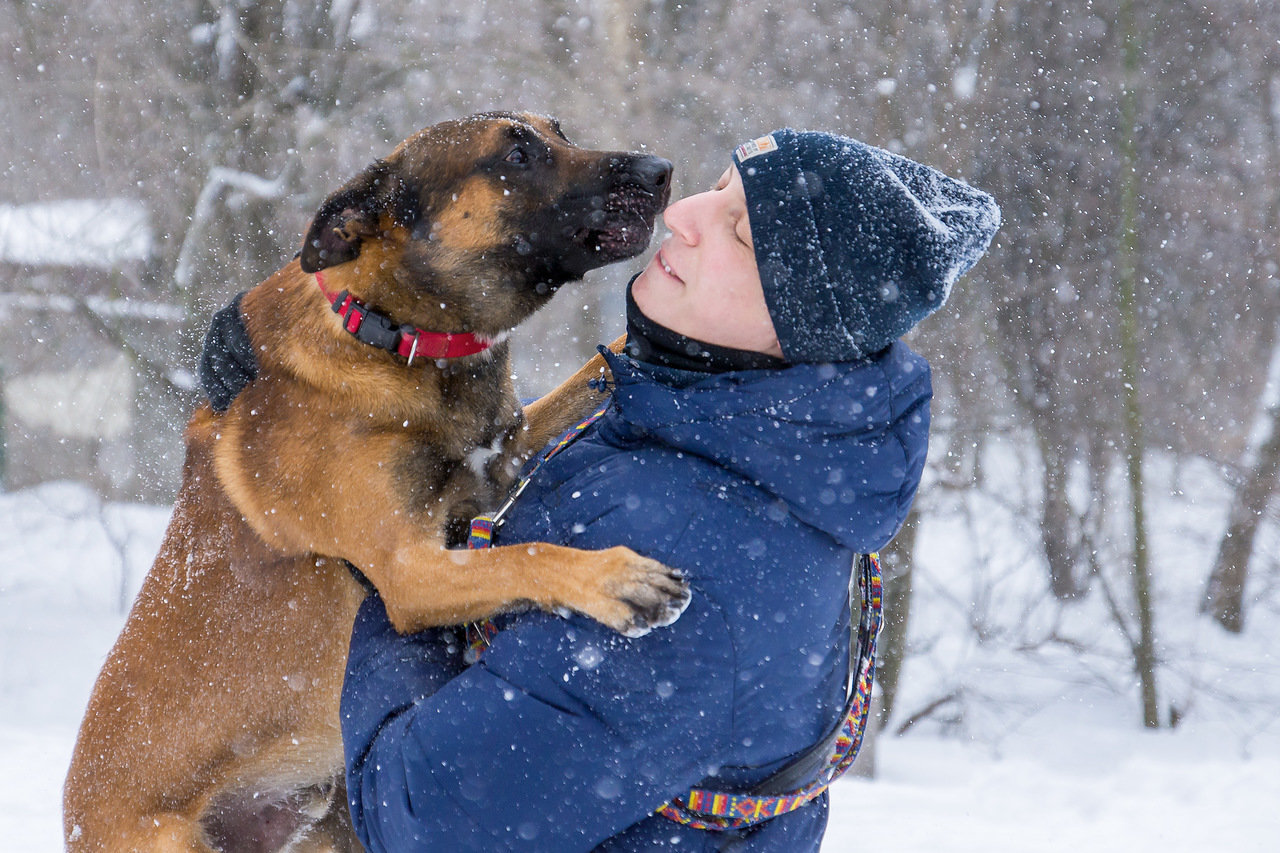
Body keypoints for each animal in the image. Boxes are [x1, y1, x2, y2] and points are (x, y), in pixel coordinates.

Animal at [63, 112, 686, 850]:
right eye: (515, 155)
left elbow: (590, 376)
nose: (659, 170)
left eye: (558, 131)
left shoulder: (504, 453)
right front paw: (612, 577)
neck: (395, 333)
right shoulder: (408, 571)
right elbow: (524, 555)